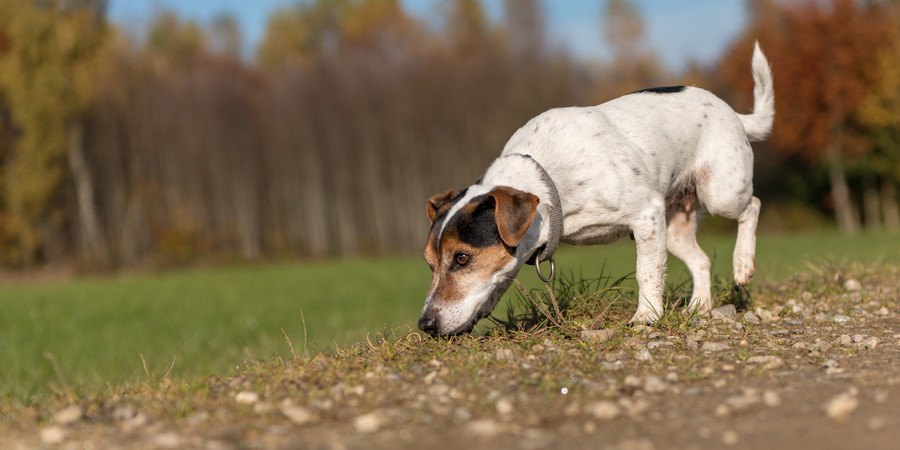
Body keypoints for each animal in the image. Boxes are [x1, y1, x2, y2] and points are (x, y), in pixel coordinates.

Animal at [416, 43, 772, 338]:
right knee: (701, 261)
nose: (425, 324)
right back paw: (700, 306)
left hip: (721, 192)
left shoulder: (646, 215)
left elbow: (646, 273)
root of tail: (734, 114)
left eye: (462, 258)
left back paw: (743, 263)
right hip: (673, 229)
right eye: (429, 264)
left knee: (753, 205)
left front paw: (647, 316)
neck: (550, 182)